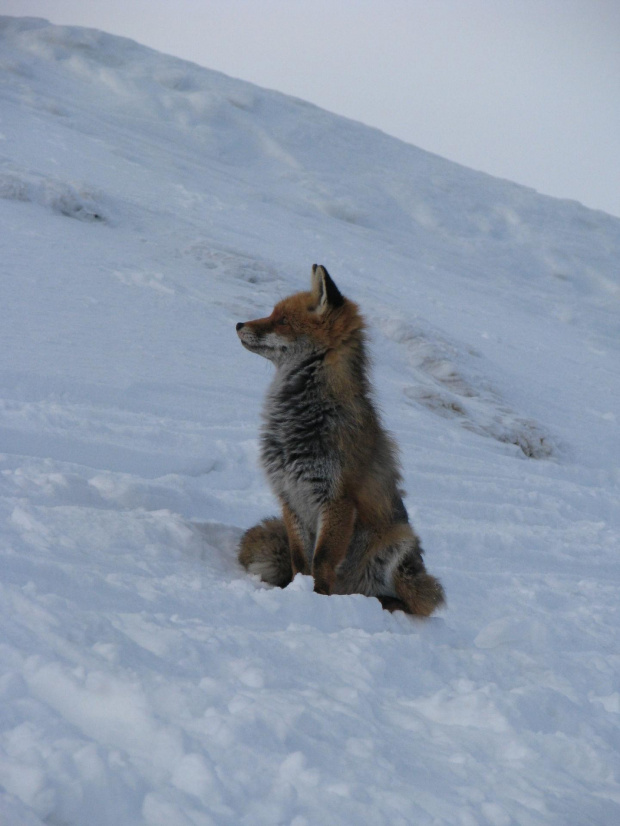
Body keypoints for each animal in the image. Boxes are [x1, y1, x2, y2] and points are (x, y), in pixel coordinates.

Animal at [235, 264, 444, 612]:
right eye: (273, 313)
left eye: (282, 320)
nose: (238, 324)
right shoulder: (289, 495)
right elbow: (300, 561)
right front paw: (297, 590)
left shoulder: (337, 499)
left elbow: (321, 562)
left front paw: (318, 601)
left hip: (400, 542)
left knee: (411, 601)